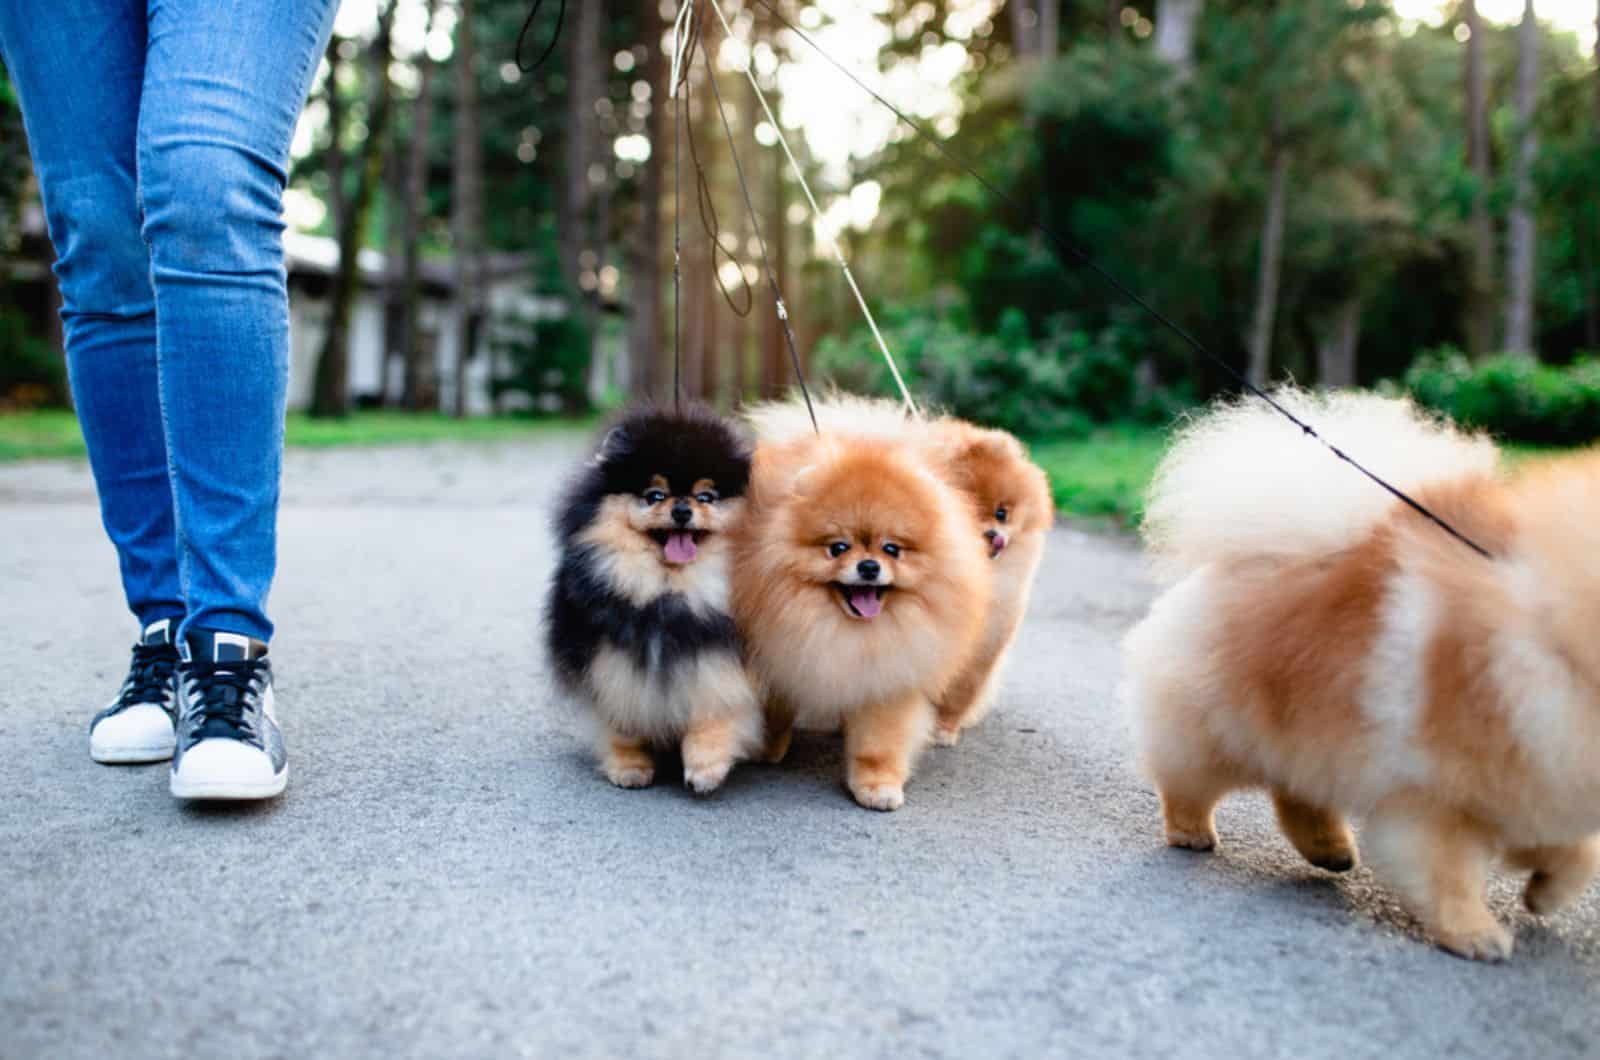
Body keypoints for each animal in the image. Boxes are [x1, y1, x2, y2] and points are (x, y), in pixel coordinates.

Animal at [550, 409, 761, 794]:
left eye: (706, 497)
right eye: (655, 495)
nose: (681, 510)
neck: (667, 591)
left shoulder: (720, 659)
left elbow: (717, 707)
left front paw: (705, 767)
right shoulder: (608, 661)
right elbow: (621, 718)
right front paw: (629, 766)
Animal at [732, 432, 985, 813]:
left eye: (892, 549)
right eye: (838, 547)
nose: (868, 566)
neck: (850, 634)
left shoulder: (888, 673)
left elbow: (878, 740)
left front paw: (877, 785)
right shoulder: (781, 649)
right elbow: (777, 704)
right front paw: (769, 745)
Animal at [745, 393, 1056, 752]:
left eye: (1002, 513)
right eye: (967, 514)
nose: (991, 535)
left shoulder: (982, 642)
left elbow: (960, 691)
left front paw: (945, 729)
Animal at [1126, 390, 1600, 960]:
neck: (1551, 632)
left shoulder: (1538, 784)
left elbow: (1578, 852)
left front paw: (1546, 895)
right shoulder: (1435, 798)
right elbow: (1450, 875)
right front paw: (1475, 933)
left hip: (1308, 739)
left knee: (1295, 795)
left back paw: (1330, 850)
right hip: (1214, 734)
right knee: (1187, 782)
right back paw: (1192, 831)